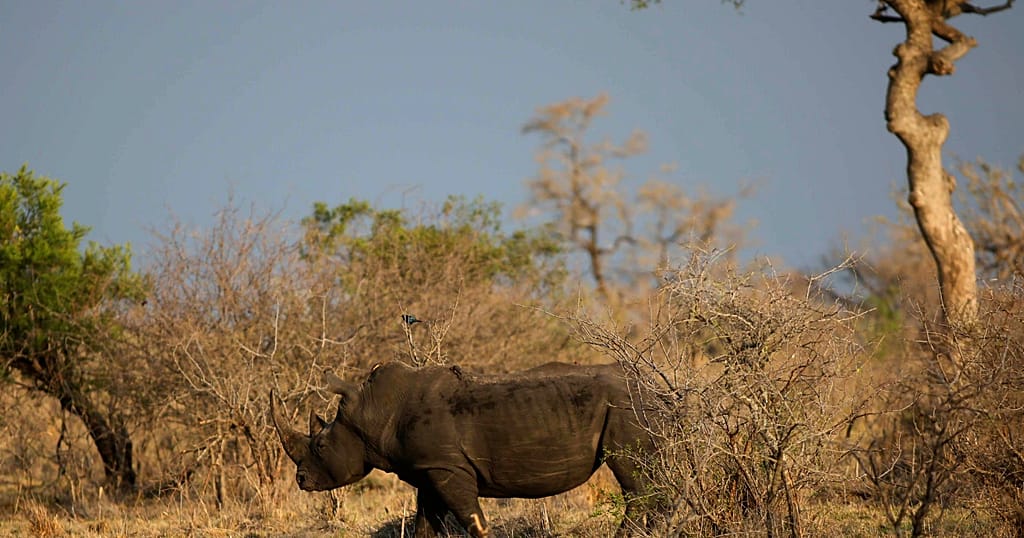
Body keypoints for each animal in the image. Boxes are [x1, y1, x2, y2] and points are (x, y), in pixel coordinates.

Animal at [270, 361, 659, 537]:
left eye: (321, 445)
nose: (301, 480)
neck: (374, 413)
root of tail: (649, 382)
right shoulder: (430, 468)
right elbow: (425, 524)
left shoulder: (447, 467)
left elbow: (474, 521)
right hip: (634, 407)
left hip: (625, 406)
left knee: (633, 479)